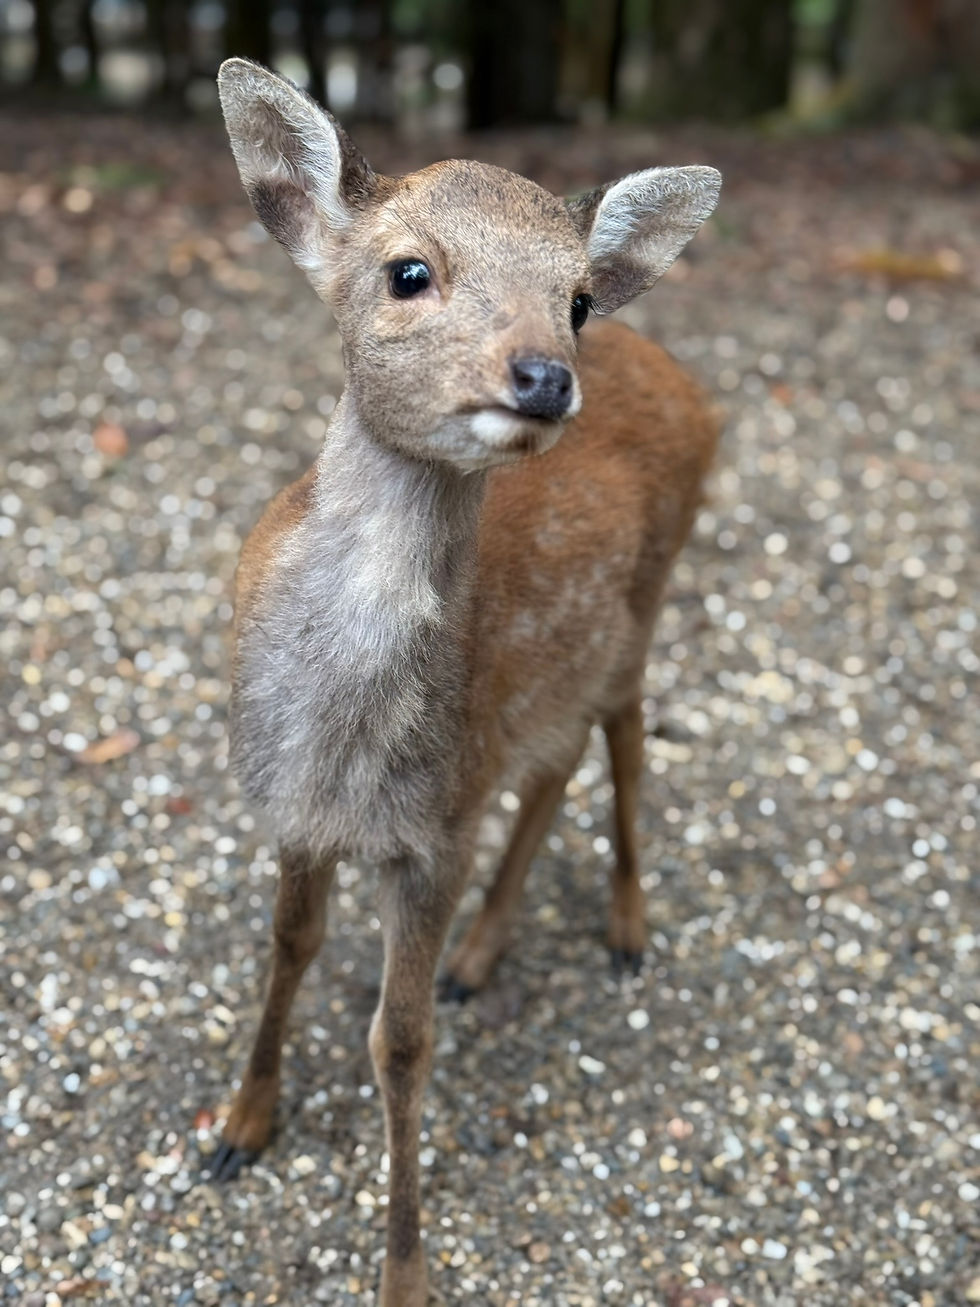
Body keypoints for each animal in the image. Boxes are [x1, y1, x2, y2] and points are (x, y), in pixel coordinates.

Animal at [209, 57, 721, 1307]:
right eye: (409, 271)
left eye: (575, 297)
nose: (543, 375)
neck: (345, 738)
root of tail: (684, 380)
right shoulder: (291, 806)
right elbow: (287, 948)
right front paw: (239, 1126)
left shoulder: (433, 827)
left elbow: (397, 1043)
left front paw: (403, 1271)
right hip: (555, 676)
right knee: (557, 758)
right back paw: (483, 958)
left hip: (642, 610)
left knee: (622, 735)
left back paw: (624, 925)